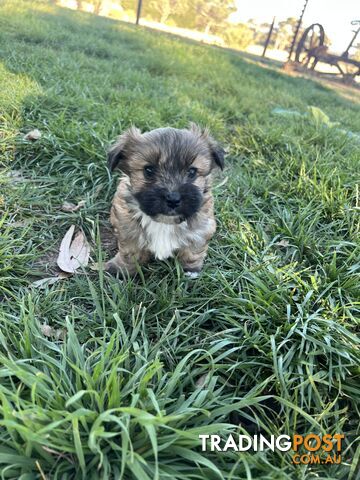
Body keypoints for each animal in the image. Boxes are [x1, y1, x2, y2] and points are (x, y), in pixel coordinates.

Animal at [104, 124, 224, 278]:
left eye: (192, 172)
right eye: (148, 170)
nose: (173, 199)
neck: (164, 222)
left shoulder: (201, 231)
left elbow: (192, 253)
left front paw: (190, 271)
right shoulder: (127, 229)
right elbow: (130, 254)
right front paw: (122, 270)